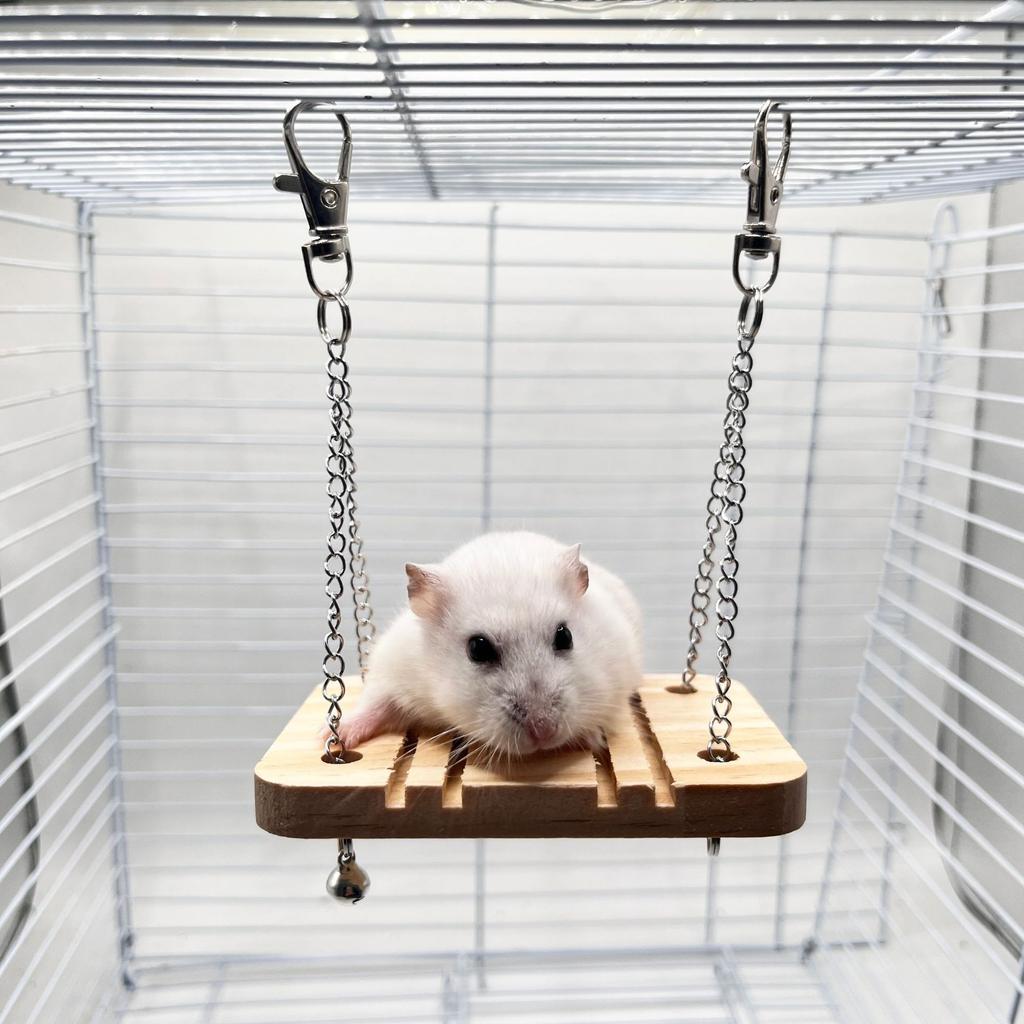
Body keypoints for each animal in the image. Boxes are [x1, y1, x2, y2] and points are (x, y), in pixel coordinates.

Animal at [328, 531, 643, 761]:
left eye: (565, 636)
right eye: (478, 649)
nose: (544, 732)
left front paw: (592, 740)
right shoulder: (393, 670)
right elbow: (374, 704)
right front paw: (331, 739)